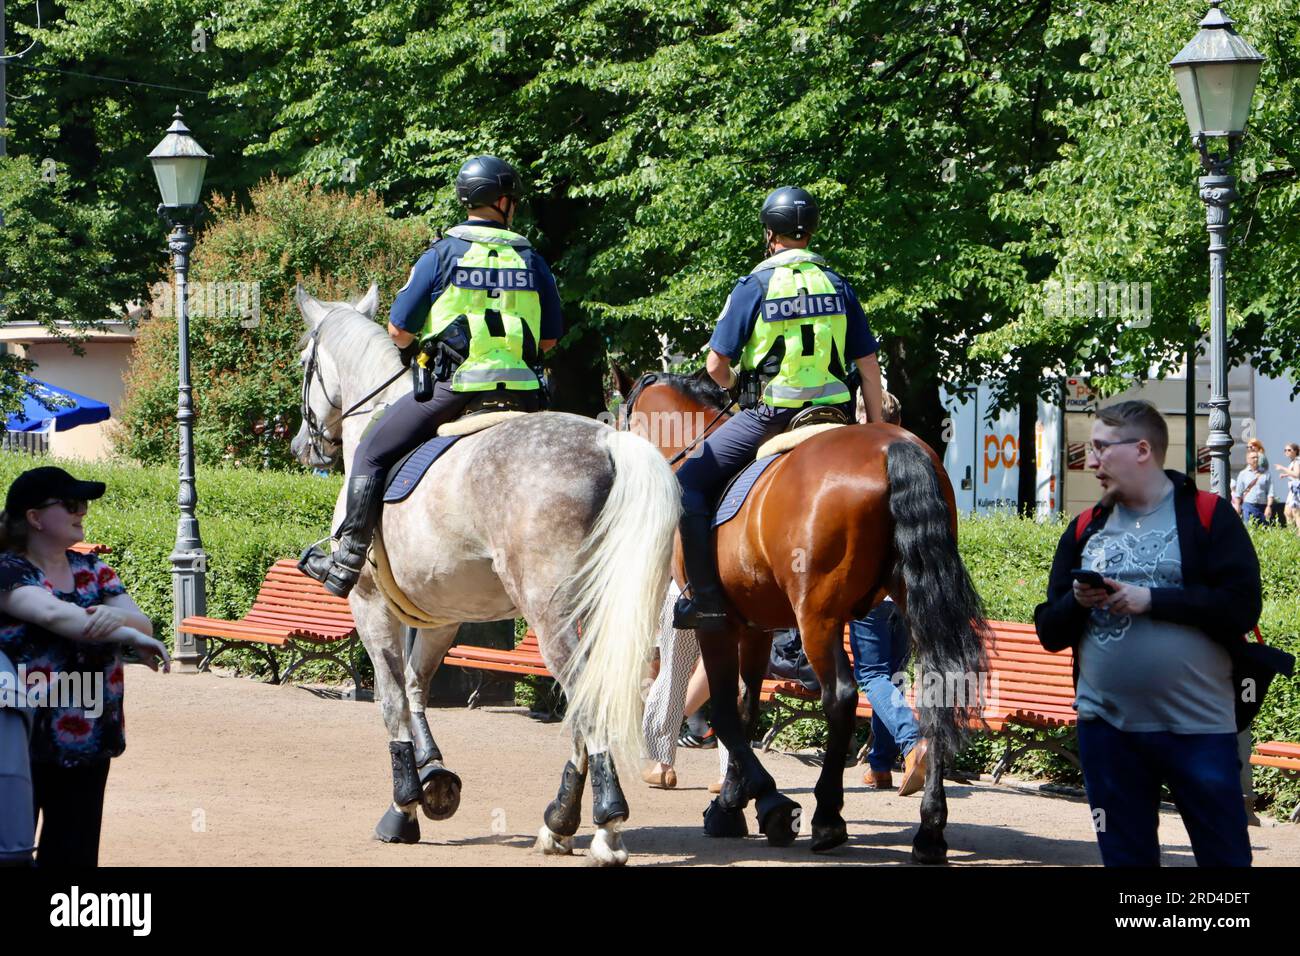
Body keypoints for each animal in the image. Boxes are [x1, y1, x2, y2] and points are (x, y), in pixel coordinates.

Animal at [288, 285, 680, 865]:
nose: (301, 446)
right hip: (597, 613)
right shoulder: (442, 616)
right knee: (589, 700)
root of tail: (610, 443)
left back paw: (606, 826)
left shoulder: (370, 605)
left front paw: (403, 806)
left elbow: (391, 698)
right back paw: (560, 821)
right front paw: (433, 776)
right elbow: (417, 685)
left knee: (587, 700)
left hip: (551, 615)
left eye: (303, 363)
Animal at [613, 365, 988, 863]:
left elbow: (726, 710)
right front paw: (734, 797)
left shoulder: (718, 624)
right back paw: (929, 829)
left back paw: (828, 816)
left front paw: (753, 802)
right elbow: (747, 704)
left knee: (841, 697)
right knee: (937, 690)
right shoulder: (755, 625)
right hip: (912, 606)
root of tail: (892, 447)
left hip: (818, 618)